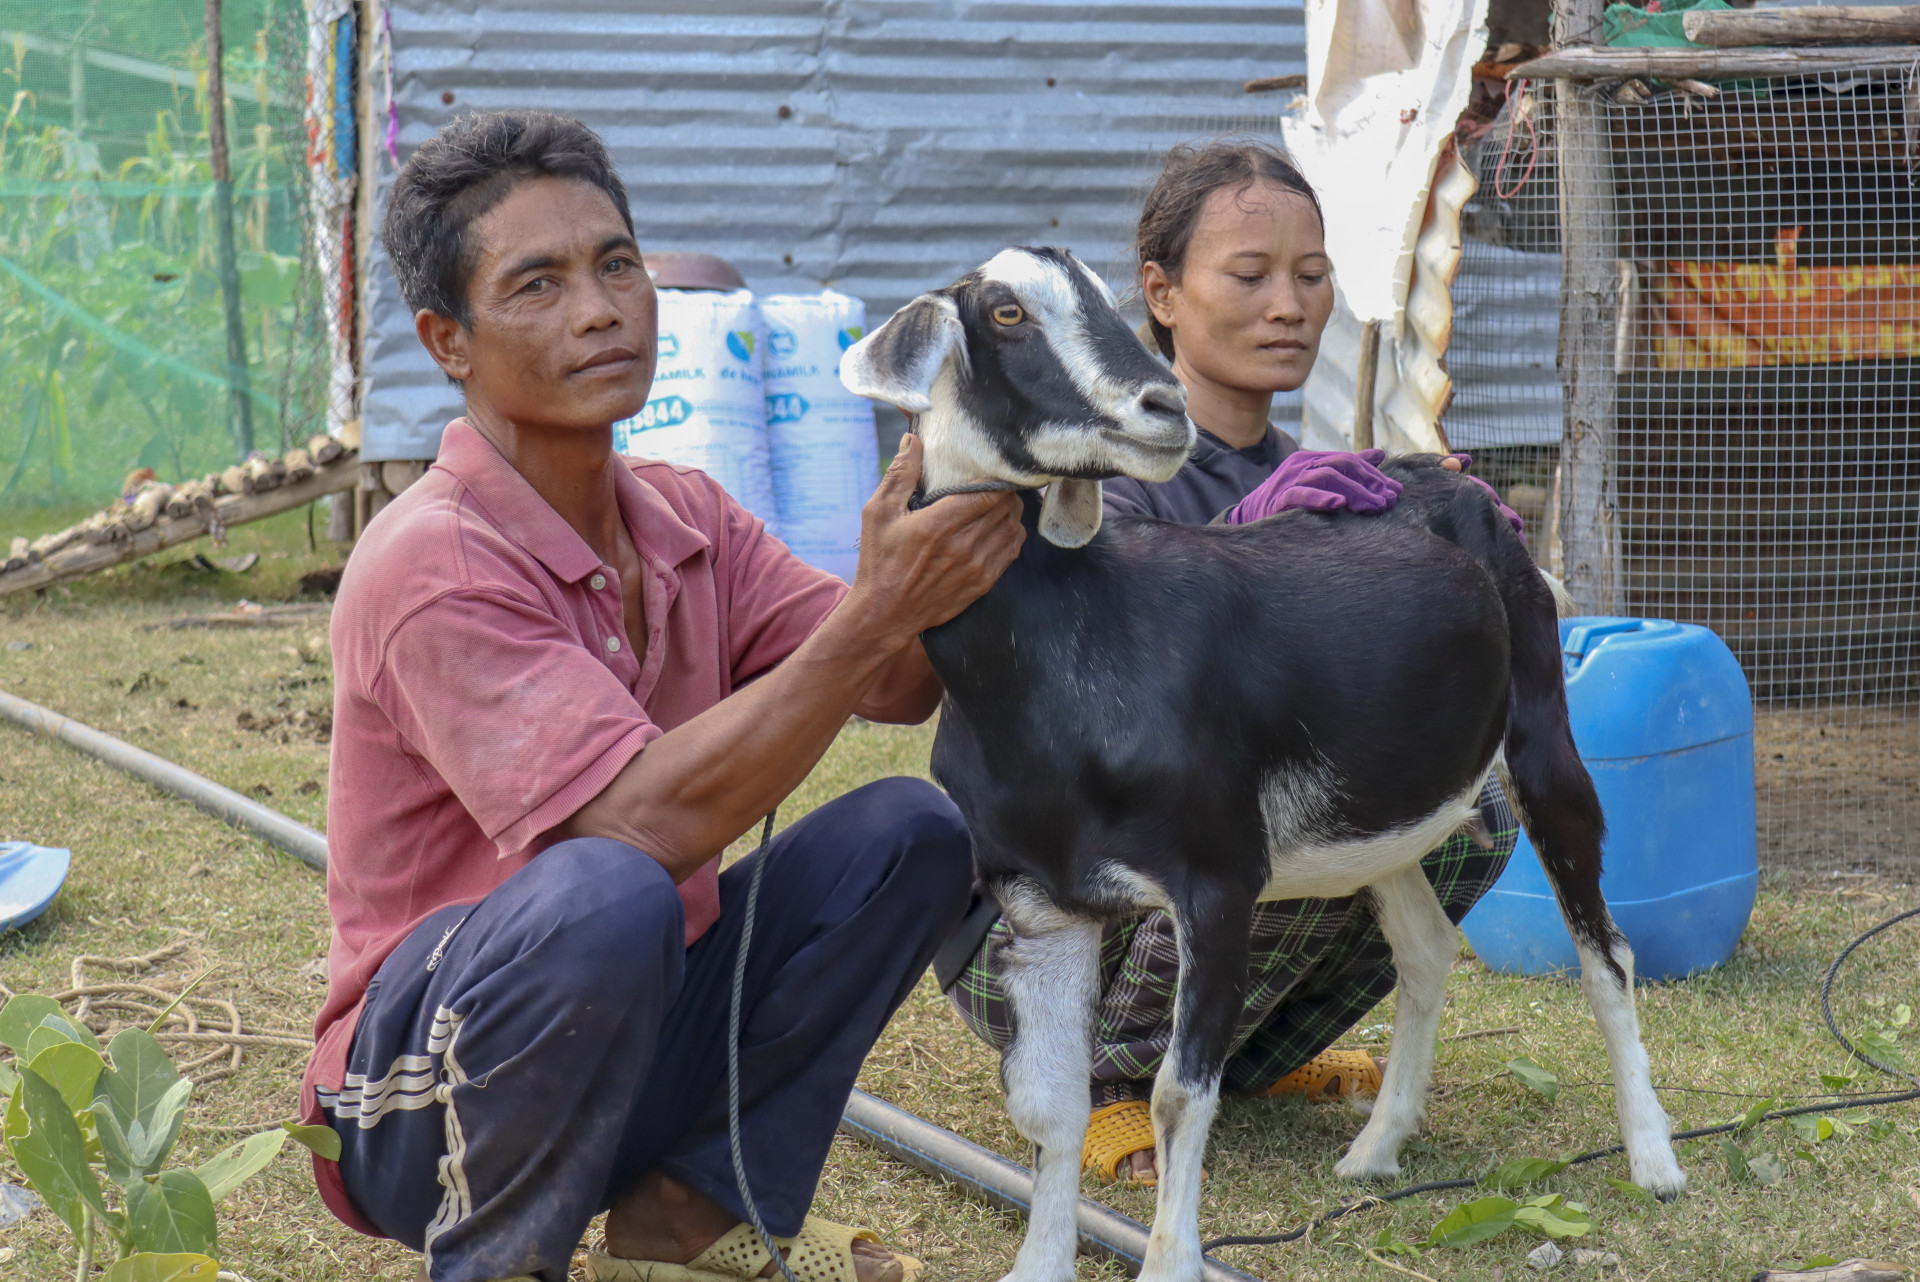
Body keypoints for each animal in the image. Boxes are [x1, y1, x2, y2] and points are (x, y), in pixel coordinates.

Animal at [840, 245, 1681, 1282]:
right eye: (1006, 313)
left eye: (1112, 298)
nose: (1163, 406)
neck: (1069, 653)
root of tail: (1448, 476)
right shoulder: (1037, 901)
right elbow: (1047, 1104)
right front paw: (1039, 1265)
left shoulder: (1218, 877)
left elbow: (1176, 1094)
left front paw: (1169, 1263)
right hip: (1370, 814)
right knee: (1426, 946)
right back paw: (1375, 1148)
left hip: (1542, 733)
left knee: (1606, 947)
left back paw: (1653, 1158)